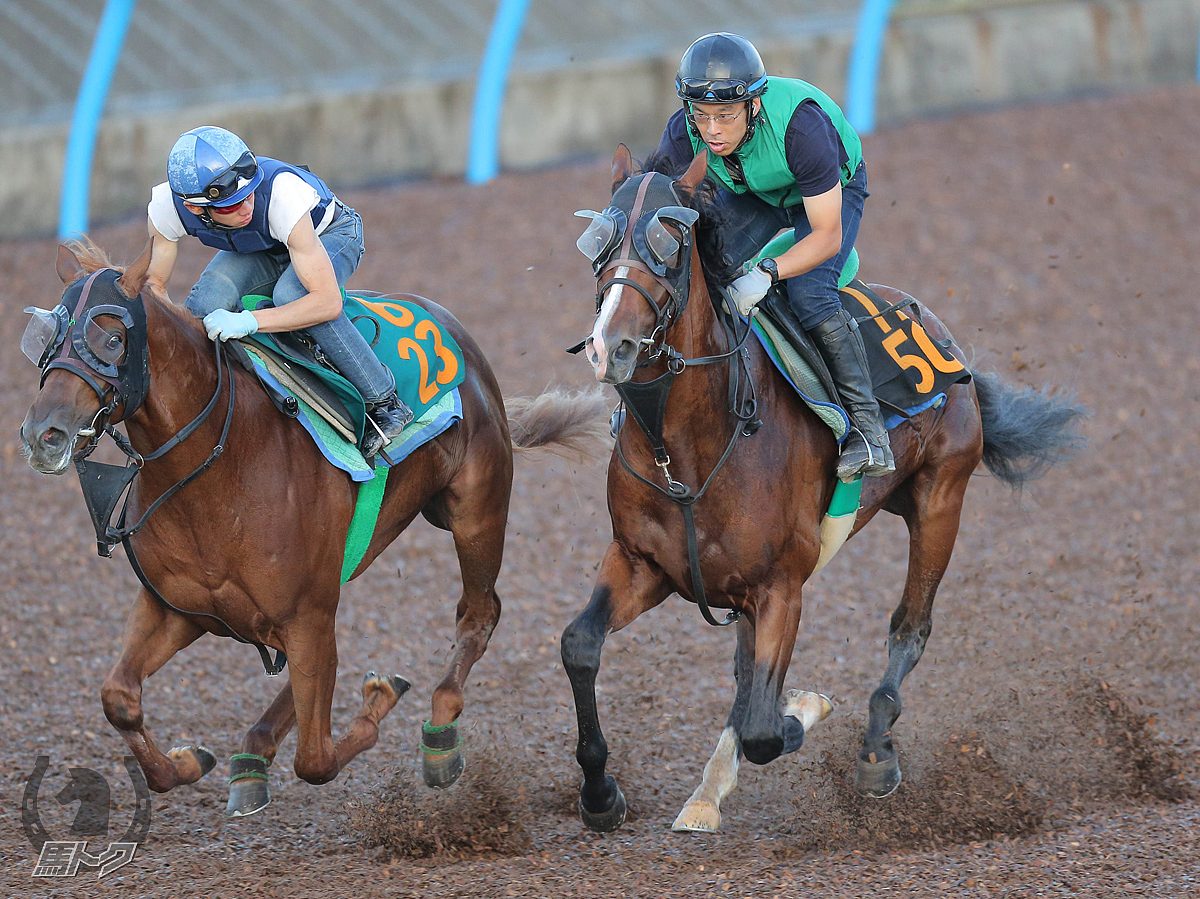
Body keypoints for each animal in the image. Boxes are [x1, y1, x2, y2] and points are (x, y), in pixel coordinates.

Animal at [18, 235, 600, 816]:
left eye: (113, 338)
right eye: (46, 338)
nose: (43, 434)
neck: (219, 470)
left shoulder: (305, 615)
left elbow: (316, 760)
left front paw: (378, 697)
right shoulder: (177, 607)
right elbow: (119, 699)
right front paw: (188, 761)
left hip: (475, 511)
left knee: (479, 613)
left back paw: (439, 735)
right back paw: (253, 754)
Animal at [556, 144, 1084, 830]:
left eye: (670, 240)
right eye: (600, 239)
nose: (611, 346)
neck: (688, 452)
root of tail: (942, 334)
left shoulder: (780, 587)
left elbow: (764, 726)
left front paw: (804, 708)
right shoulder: (643, 563)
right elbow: (580, 646)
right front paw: (600, 793)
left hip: (941, 497)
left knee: (910, 628)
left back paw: (876, 752)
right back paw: (707, 794)